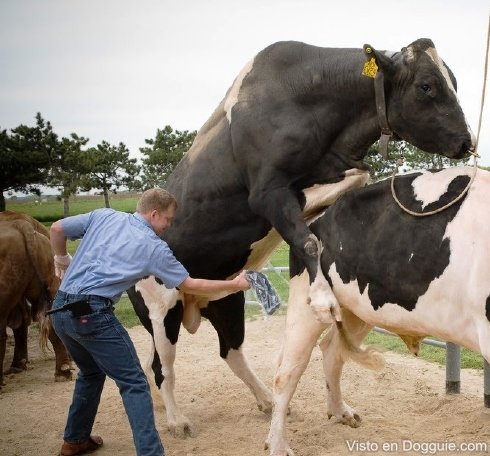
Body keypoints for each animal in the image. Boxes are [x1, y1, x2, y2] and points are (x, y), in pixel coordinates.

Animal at [126, 39, 474, 434]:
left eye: (453, 82)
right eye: (427, 86)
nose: (467, 140)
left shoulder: (339, 168)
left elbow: (355, 178)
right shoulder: (266, 191)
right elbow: (307, 239)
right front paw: (322, 297)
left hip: (225, 299)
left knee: (229, 351)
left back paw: (265, 400)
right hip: (159, 307)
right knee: (162, 366)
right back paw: (176, 419)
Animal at [268, 165, 490, 456]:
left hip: (357, 310)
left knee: (332, 352)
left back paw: (341, 412)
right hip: (309, 304)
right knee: (287, 372)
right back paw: (278, 444)